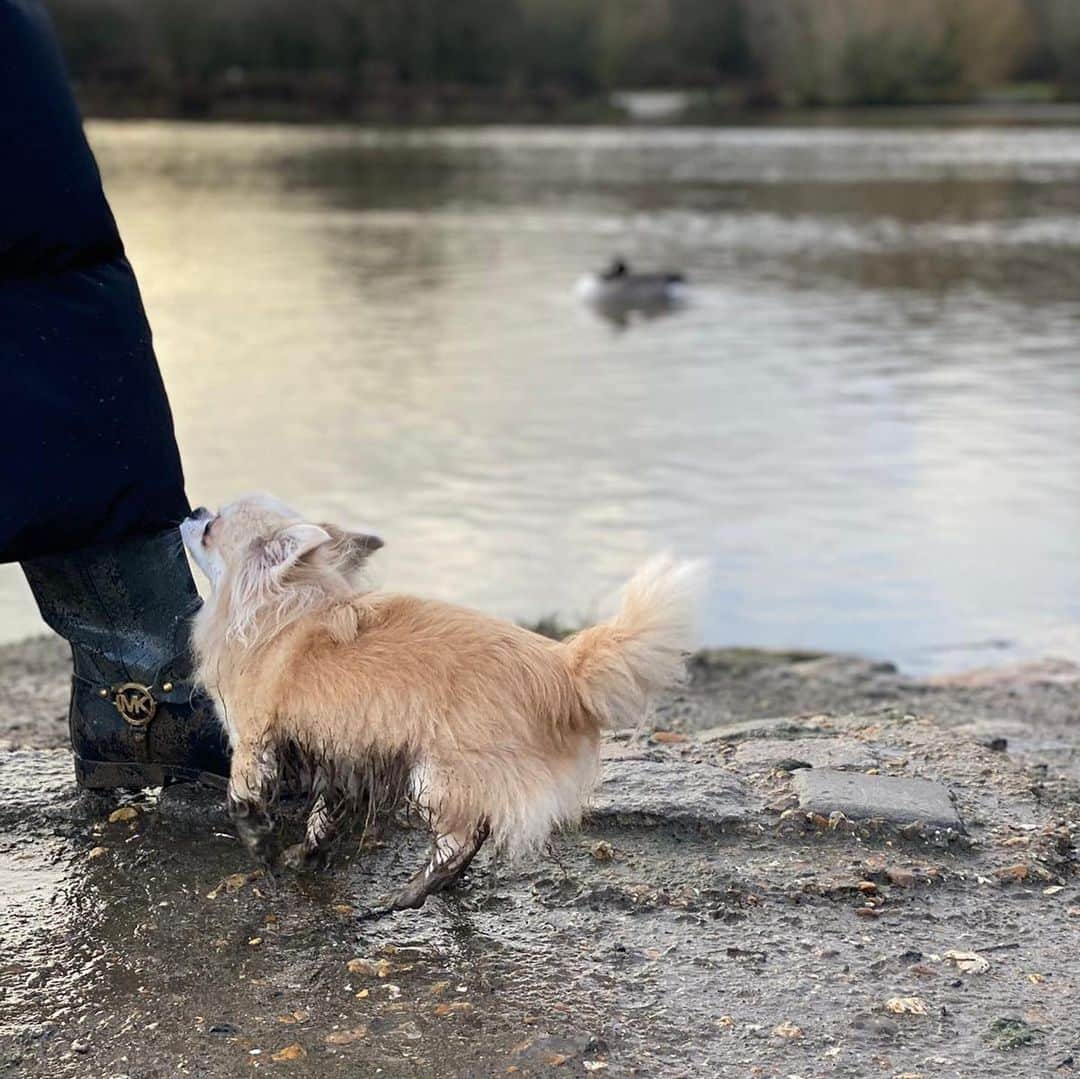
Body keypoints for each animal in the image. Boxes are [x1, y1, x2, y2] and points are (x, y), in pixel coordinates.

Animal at [181, 494, 704, 911]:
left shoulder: (255, 741)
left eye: (210, 529)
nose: (193, 510)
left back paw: (409, 895)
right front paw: (306, 855)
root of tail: (563, 669)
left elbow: (241, 800)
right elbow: (324, 817)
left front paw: (262, 850)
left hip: (436, 775)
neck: (282, 612)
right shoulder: (343, 754)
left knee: (463, 840)